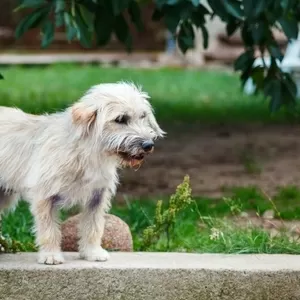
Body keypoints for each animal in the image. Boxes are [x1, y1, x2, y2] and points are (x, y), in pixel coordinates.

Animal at [0, 81, 164, 262]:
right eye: (120, 119)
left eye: (143, 117)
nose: (149, 145)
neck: (86, 153)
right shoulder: (45, 197)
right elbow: (49, 230)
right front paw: (51, 255)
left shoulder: (96, 198)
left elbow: (93, 227)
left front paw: (93, 252)